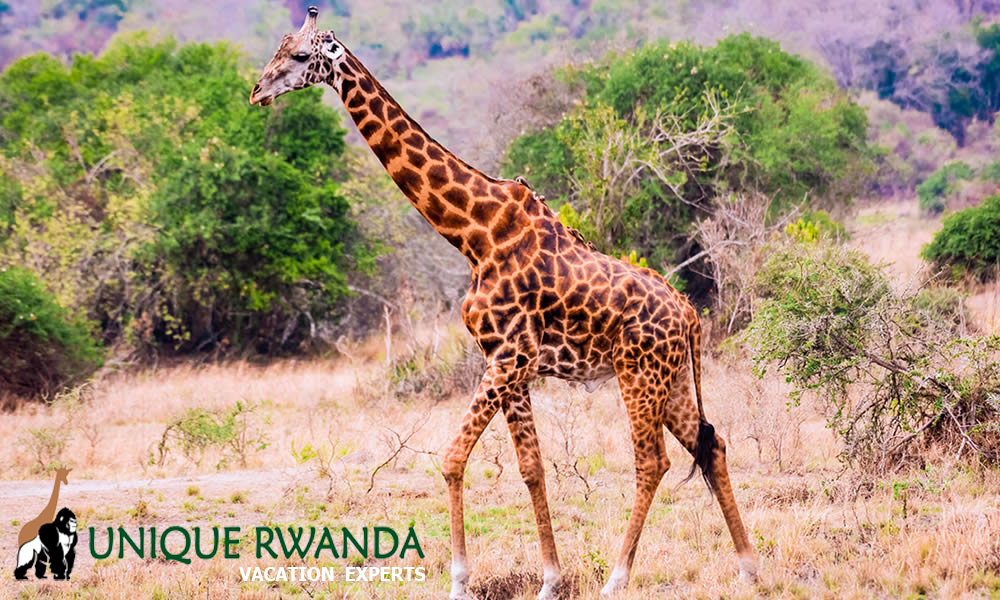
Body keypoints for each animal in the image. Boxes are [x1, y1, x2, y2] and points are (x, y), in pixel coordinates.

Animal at [251, 8, 757, 598]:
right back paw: (747, 566)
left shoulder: (509, 353)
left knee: (652, 461)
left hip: (640, 373)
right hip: (672, 380)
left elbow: (452, 458)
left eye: (300, 56)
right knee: (711, 444)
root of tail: (690, 314)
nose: (257, 91)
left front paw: (459, 580)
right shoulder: (511, 362)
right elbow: (532, 467)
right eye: (277, 49)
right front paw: (550, 580)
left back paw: (616, 577)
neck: (474, 232)